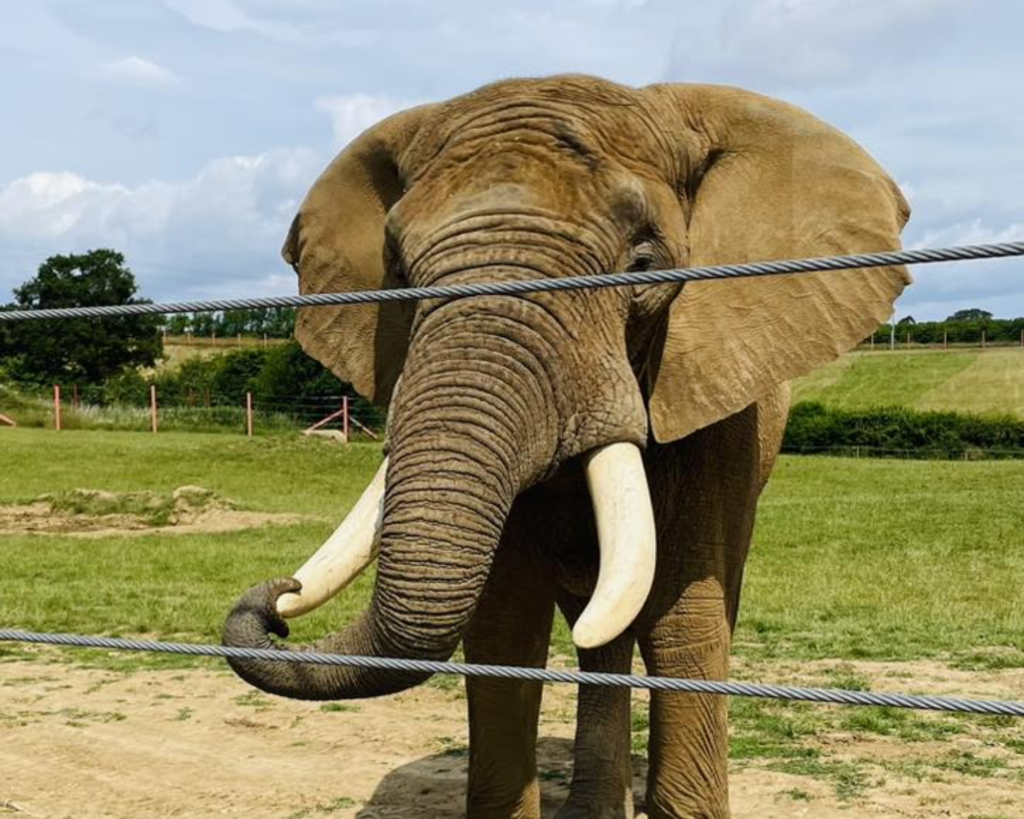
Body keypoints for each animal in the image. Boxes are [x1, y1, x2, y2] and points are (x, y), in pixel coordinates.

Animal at [224, 75, 913, 818]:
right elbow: (504, 627)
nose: (278, 599)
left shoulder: (716, 393)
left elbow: (682, 621)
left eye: (642, 264)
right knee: (596, 627)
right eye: (398, 271)